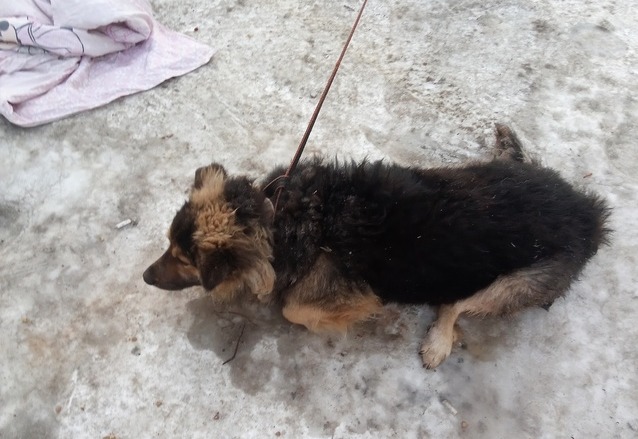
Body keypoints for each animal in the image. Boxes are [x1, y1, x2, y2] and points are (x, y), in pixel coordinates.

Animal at [143, 125, 610, 369]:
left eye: (184, 260)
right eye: (168, 246)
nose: (146, 276)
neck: (277, 219)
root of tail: (588, 212)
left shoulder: (343, 290)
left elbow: (295, 310)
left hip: (521, 282)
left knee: (457, 304)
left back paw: (438, 341)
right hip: (478, 173)